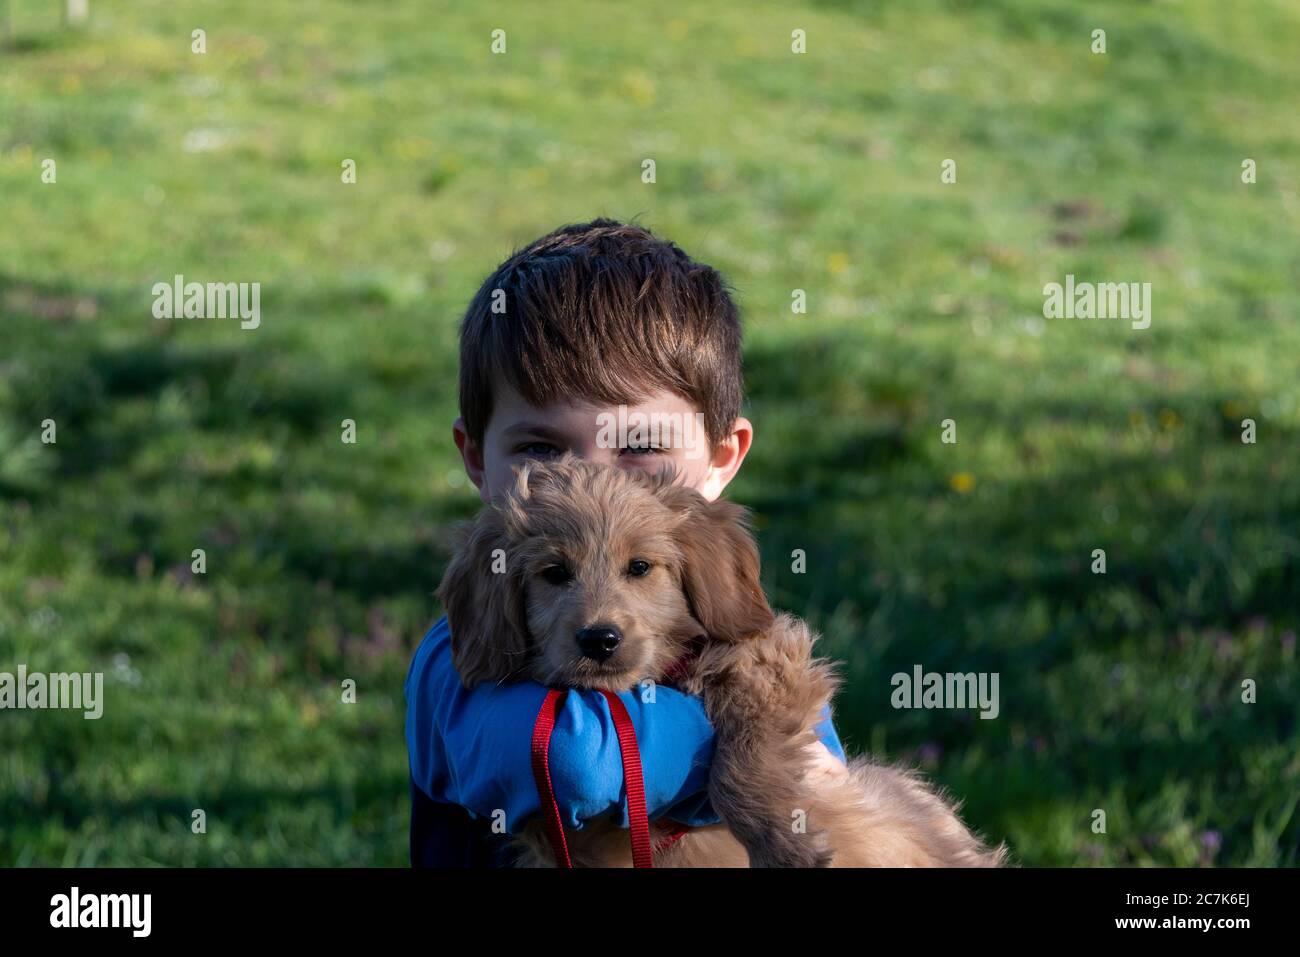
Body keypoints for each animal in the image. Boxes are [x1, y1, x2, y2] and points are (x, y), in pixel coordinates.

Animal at [436, 455, 1003, 868]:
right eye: (554, 573)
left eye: (639, 567)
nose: (600, 639)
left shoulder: (771, 657)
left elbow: (739, 762)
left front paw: (783, 842)